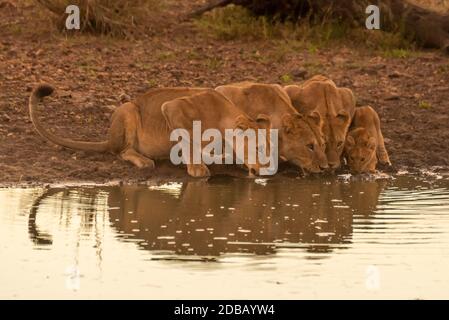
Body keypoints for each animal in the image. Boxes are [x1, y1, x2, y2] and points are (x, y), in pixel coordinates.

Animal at [29, 85, 272, 178]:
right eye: (258, 148)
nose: (268, 170)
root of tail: (108, 138)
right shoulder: (172, 108)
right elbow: (189, 140)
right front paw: (196, 168)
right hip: (128, 109)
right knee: (122, 151)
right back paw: (144, 161)